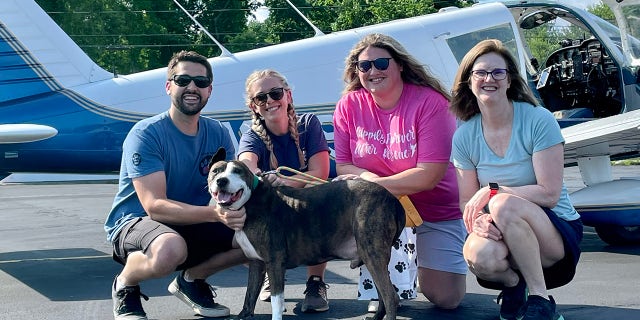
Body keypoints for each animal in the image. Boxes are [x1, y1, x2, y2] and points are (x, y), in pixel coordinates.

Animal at [208, 149, 402, 320]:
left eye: (237, 172)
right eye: (215, 171)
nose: (221, 181)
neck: (250, 199)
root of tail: (392, 199)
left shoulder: (275, 262)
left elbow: (276, 301)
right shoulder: (256, 263)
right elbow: (249, 296)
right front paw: (243, 315)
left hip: (373, 254)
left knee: (390, 296)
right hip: (370, 257)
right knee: (383, 295)